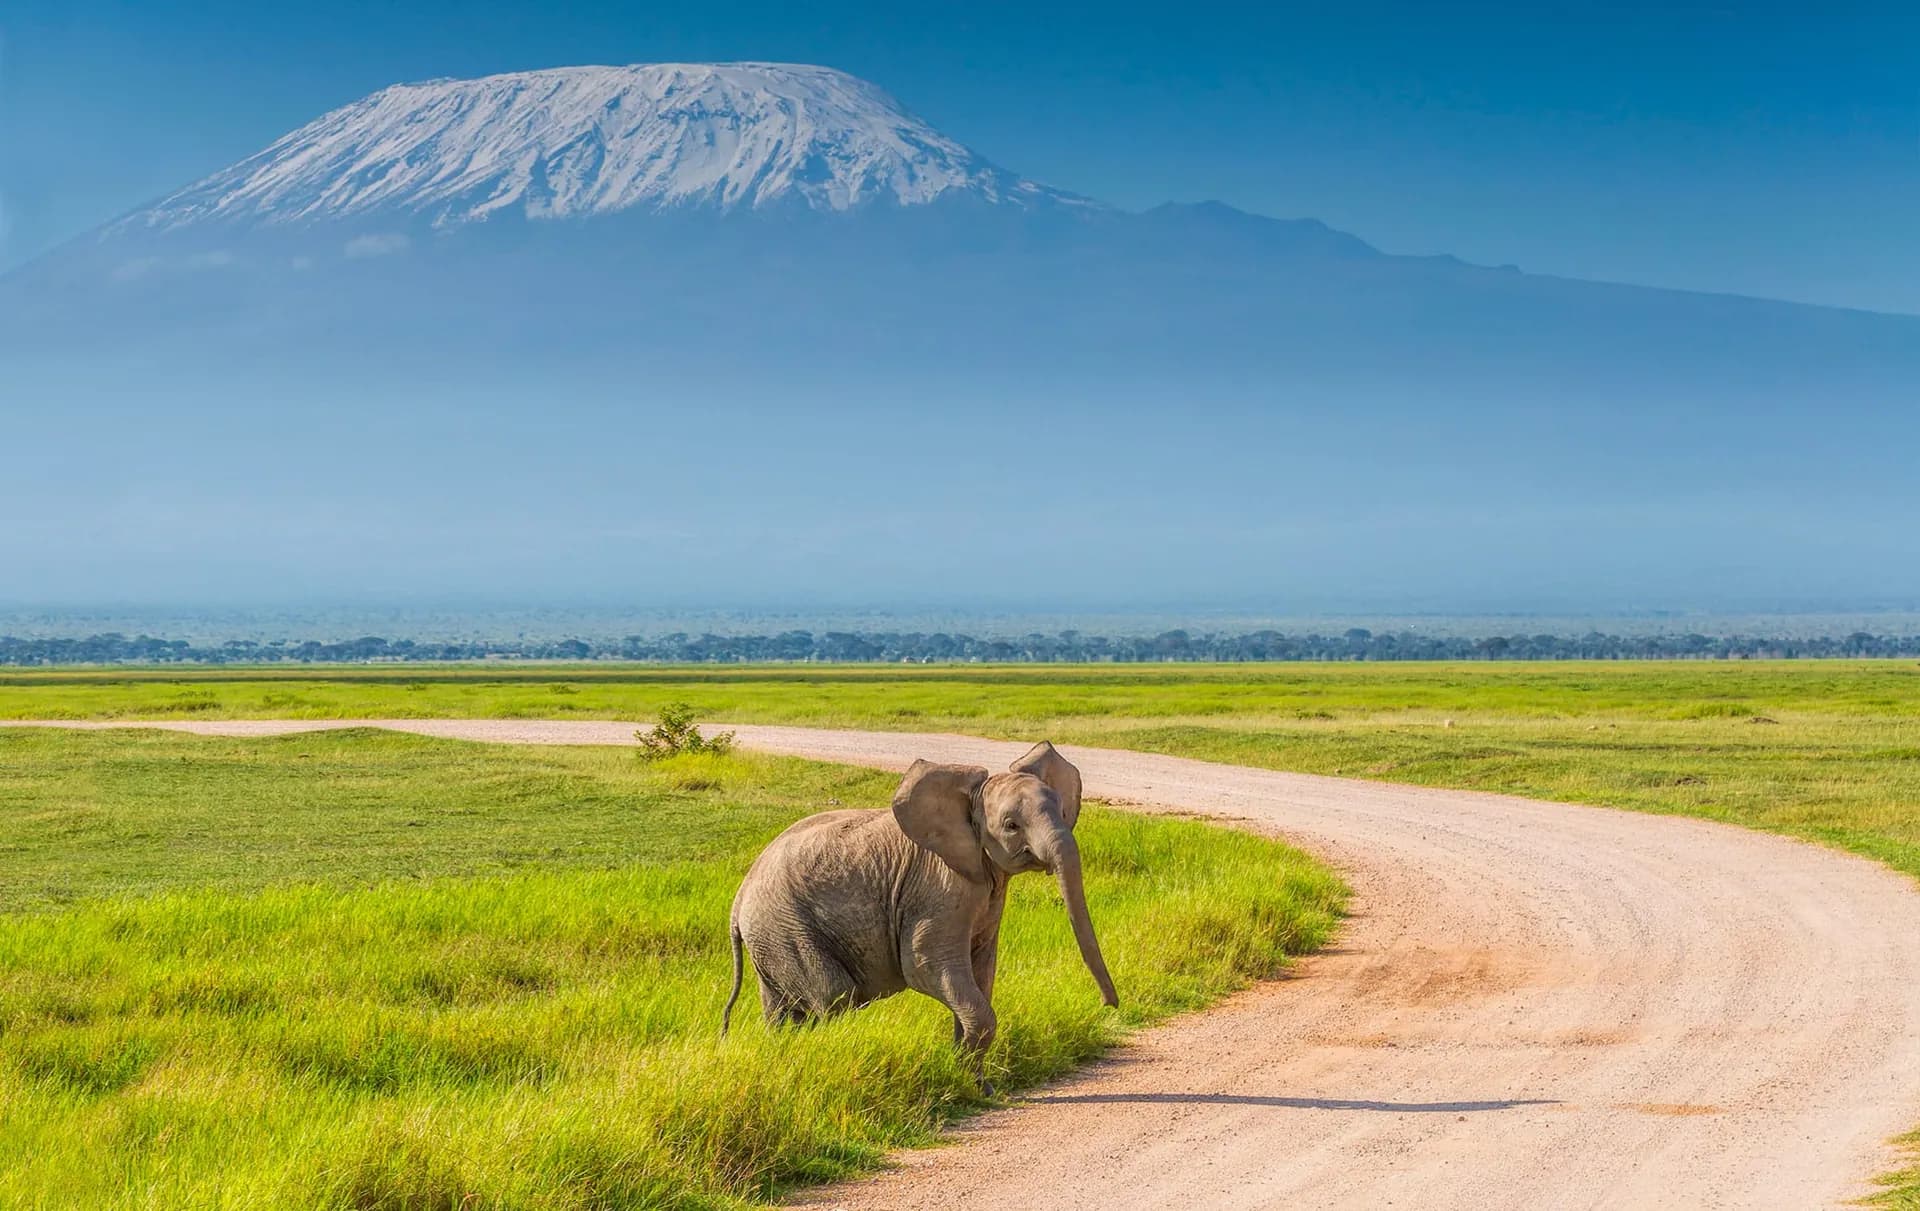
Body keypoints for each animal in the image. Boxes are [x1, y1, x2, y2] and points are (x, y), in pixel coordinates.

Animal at [722, 741, 1118, 1077]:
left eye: (1063, 811)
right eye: (1011, 826)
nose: (1108, 1006)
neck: (968, 806)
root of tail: (738, 902)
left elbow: (981, 970)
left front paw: (972, 1082)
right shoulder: (936, 887)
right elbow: (926, 965)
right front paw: (963, 1080)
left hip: (772, 938)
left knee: (782, 1011)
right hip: (786, 929)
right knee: (834, 997)